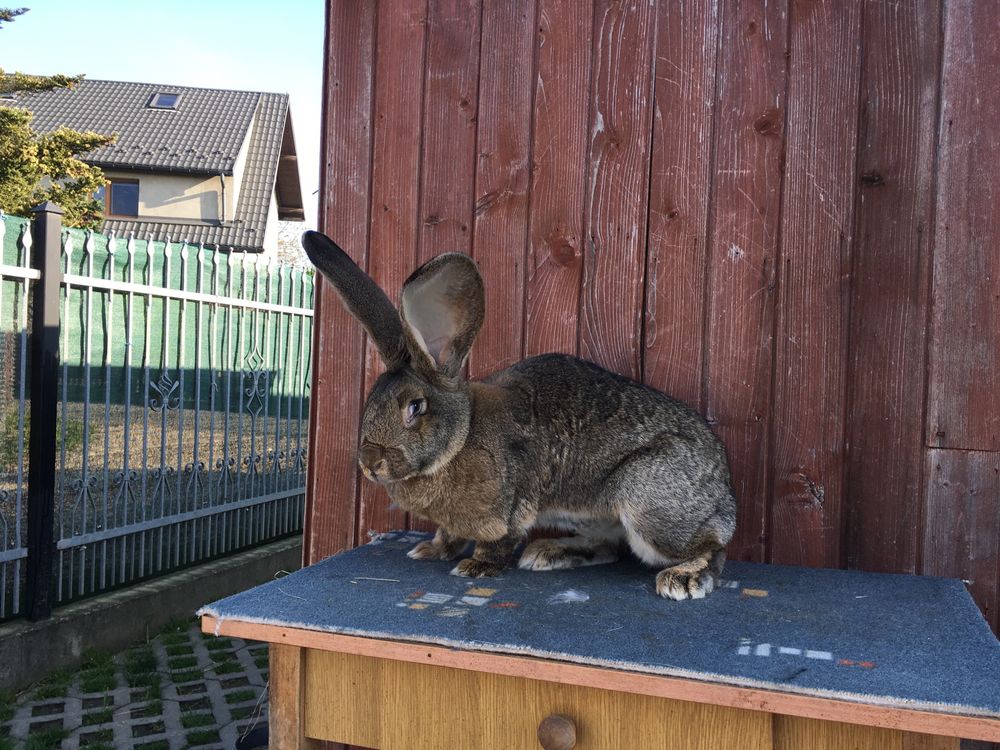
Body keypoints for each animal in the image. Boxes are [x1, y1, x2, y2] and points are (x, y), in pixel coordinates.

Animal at [300, 232, 740, 604]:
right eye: (371, 400)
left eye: (415, 407)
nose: (370, 463)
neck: (461, 437)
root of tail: (724, 491)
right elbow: (447, 534)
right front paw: (428, 550)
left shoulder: (506, 510)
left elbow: (496, 542)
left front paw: (474, 567)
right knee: (608, 547)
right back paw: (547, 553)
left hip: (646, 498)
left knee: (713, 548)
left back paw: (684, 578)